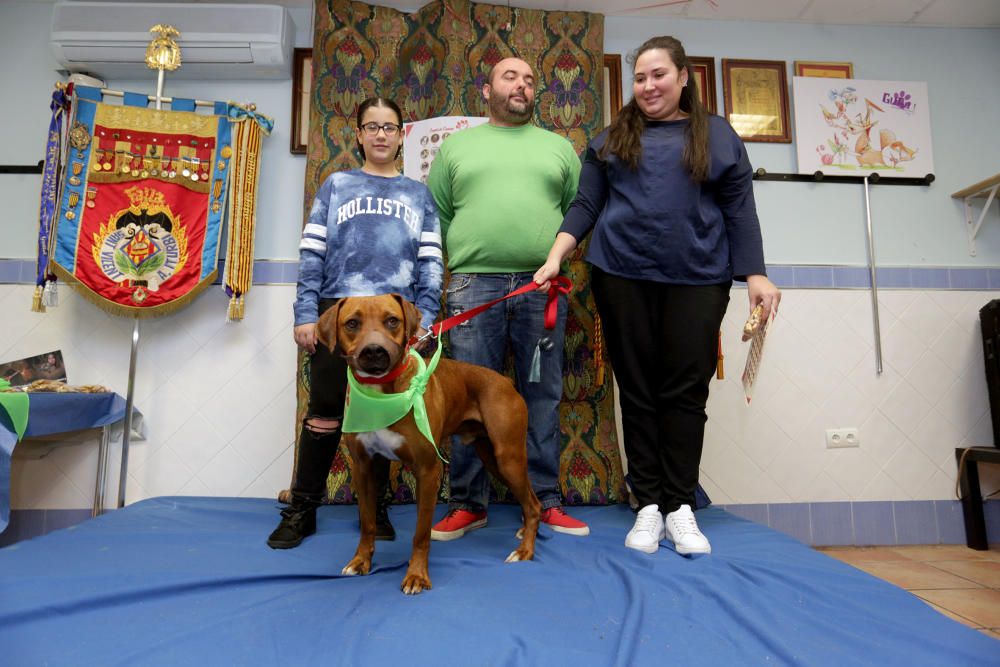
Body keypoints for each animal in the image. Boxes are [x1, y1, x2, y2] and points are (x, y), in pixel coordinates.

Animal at [318, 294, 540, 592]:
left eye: (392, 321)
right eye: (352, 323)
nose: (374, 351)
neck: (382, 395)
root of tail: (505, 379)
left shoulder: (428, 471)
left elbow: (420, 534)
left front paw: (417, 576)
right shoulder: (363, 468)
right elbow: (367, 524)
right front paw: (360, 561)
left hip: (509, 458)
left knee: (533, 505)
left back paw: (525, 550)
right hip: (492, 458)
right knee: (529, 501)